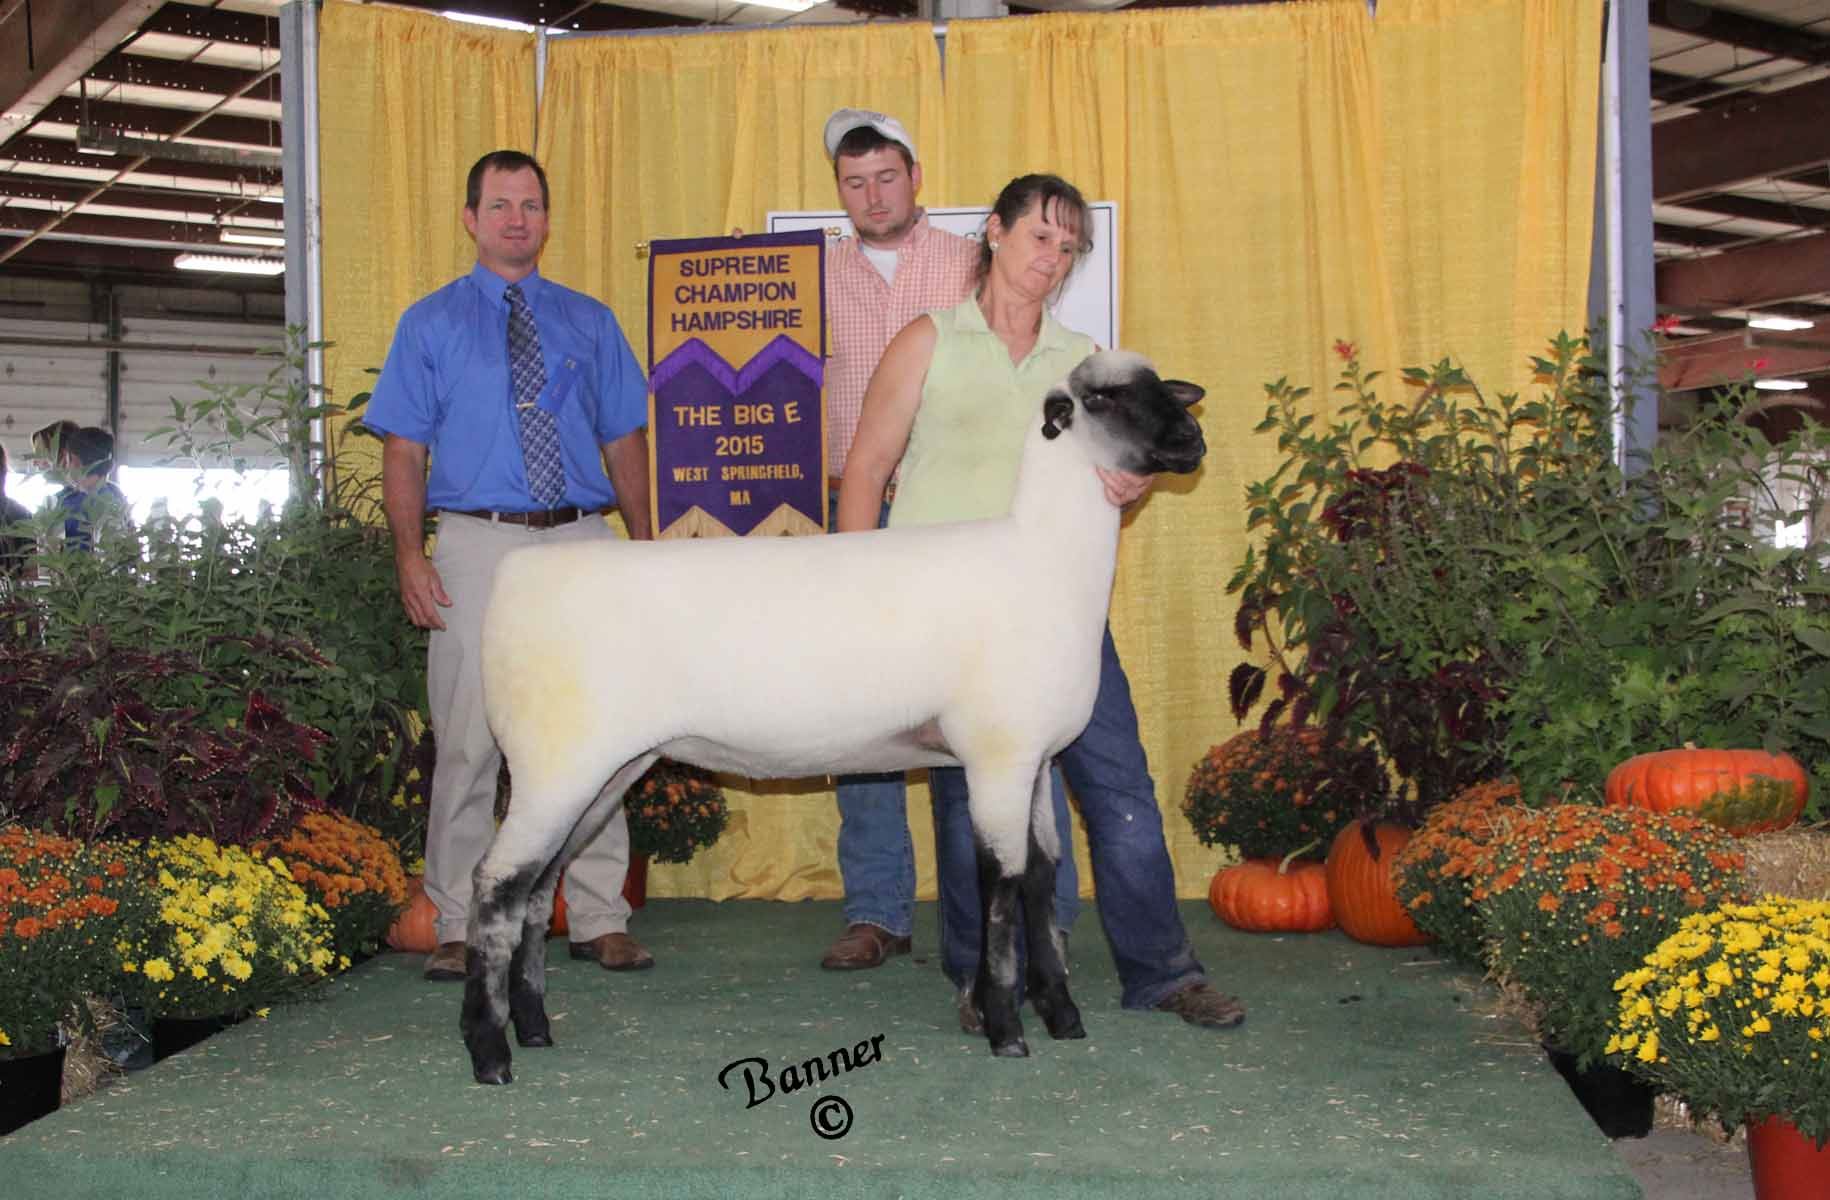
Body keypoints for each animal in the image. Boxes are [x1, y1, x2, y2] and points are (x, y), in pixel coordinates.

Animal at [460, 349, 1207, 1084]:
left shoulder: (1038, 757)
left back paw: (533, 1028)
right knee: (497, 884)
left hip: (604, 769)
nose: (1194, 440)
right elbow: (1002, 885)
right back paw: (489, 1051)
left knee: (537, 889)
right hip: (555, 761)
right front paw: (1007, 1031)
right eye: (1104, 399)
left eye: (1162, 390)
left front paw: (1062, 1016)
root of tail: (517, 577)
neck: (1045, 561)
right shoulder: (998, 756)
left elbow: (1042, 880)